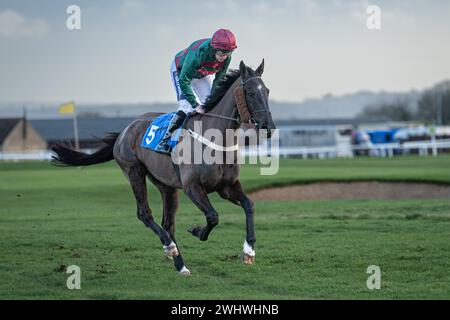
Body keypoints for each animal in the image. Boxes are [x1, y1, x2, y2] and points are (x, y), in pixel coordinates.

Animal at [52, 60, 278, 276]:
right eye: (251, 93)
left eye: (266, 91)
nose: (269, 127)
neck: (216, 138)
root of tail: (125, 131)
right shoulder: (192, 187)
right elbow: (213, 217)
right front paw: (197, 231)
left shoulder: (227, 187)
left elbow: (249, 205)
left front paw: (248, 251)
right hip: (134, 172)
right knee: (145, 214)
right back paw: (169, 247)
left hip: (165, 185)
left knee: (168, 223)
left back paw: (181, 266)